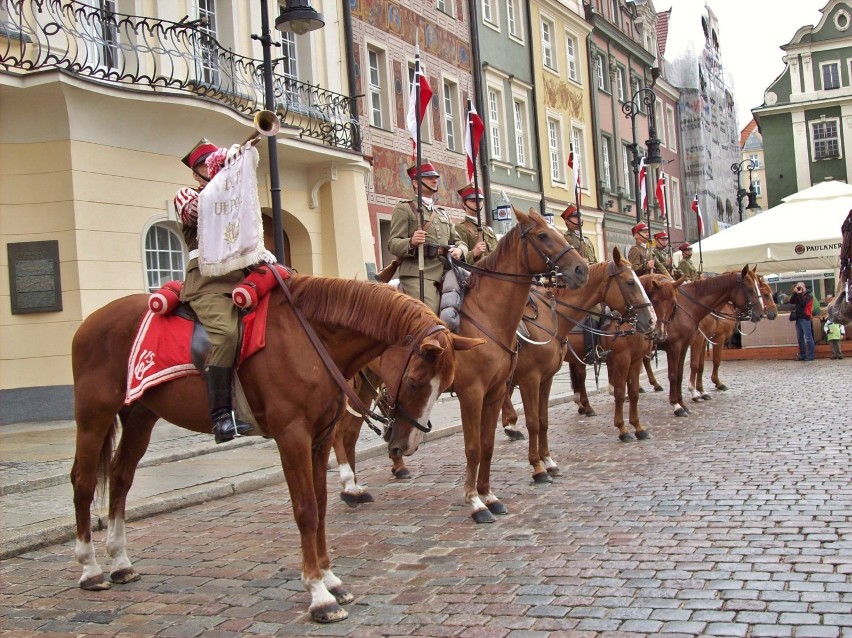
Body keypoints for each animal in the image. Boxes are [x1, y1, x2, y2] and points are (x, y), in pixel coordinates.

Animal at [70, 276, 482, 624]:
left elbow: (320, 506)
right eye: (414, 381)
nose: (406, 444)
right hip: (94, 415)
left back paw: (120, 562)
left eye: (445, 382)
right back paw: (90, 568)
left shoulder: (319, 438)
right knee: (84, 482)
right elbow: (305, 510)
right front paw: (318, 595)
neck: (310, 341)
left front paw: (330, 578)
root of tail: (91, 321)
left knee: (121, 478)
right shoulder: (293, 436)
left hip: (141, 415)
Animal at [330, 210, 588, 520]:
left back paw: (356, 488)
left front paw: (489, 495)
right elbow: (474, 447)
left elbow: (488, 445)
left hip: (369, 384)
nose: (581, 269)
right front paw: (475, 502)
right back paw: (349, 485)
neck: (488, 317)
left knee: (351, 432)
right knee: (340, 432)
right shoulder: (473, 393)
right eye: (543, 236)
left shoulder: (496, 391)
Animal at [496, 250, 656, 480]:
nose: (651, 321)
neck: (551, 317)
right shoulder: (621, 359)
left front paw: (638, 427)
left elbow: (632, 393)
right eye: (630, 282)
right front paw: (623, 429)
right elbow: (619, 393)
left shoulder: (633, 360)